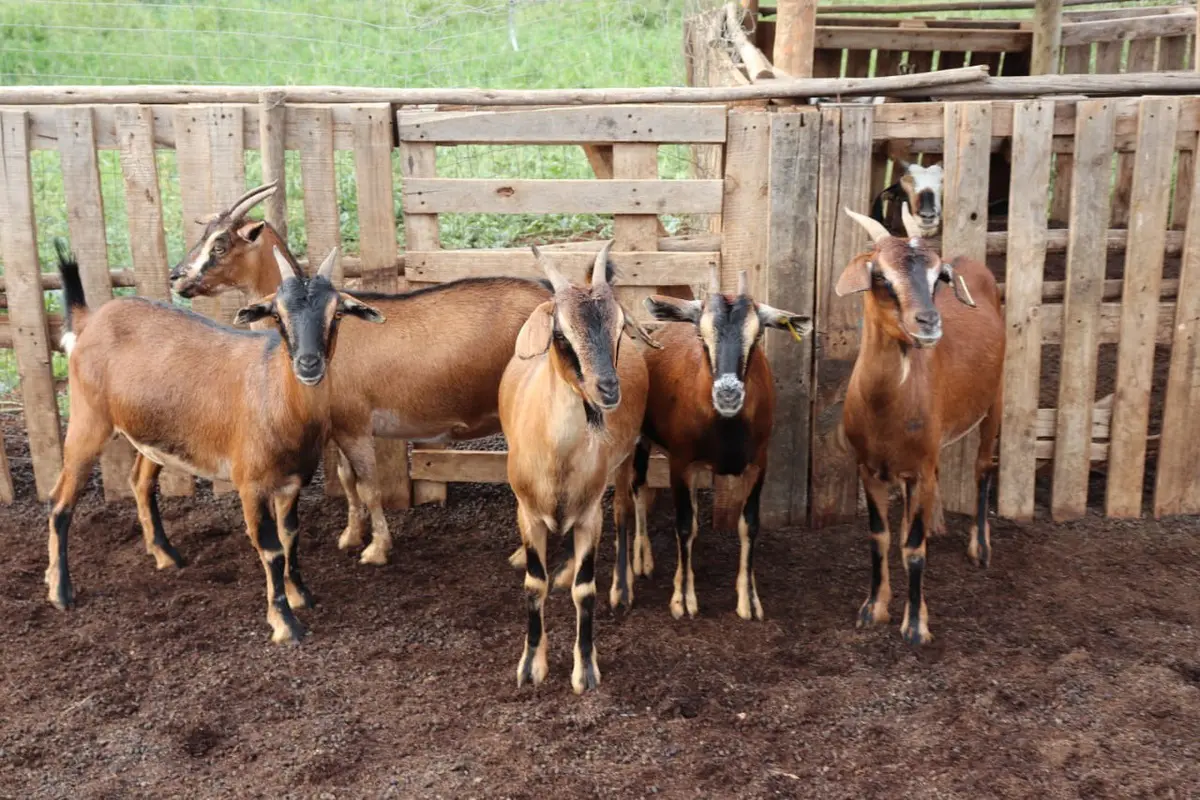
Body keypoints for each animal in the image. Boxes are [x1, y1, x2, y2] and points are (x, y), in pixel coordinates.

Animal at [48, 242, 384, 643]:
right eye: (278, 314)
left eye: (336, 314)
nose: (308, 364)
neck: (276, 395)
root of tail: (90, 320)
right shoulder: (251, 484)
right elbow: (271, 548)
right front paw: (284, 624)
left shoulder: (291, 483)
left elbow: (290, 536)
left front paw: (300, 594)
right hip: (88, 422)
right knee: (60, 502)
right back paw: (60, 592)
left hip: (152, 435)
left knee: (139, 482)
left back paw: (166, 556)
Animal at [169, 183, 553, 566]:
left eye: (220, 244)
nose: (176, 277)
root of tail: (552, 296)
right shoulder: (338, 427)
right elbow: (347, 480)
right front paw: (351, 536)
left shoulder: (356, 425)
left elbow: (369, 486)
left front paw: (377, 549)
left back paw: (522, 555)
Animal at [500, 242, 656, 694]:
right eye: (560, 333)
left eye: (619, 329)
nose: (608, 389)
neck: (557, 459)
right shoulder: (528, 513)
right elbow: (534, 583)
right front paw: (531, 664)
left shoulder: (590, 514)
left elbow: (586, 590)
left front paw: (584, 669)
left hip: (624, 463)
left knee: (623, 512)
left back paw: (622, 587)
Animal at [630, 269, 811, 621]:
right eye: (701, 336)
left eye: (757, 335)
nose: (728, 395)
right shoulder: (680, 463)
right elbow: (683, 525)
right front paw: (683, 600)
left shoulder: (758, 464)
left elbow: (749, 525)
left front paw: (749, 600)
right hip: (640, 440)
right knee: (638, 487)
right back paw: (641, 560)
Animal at [836, 203, 1004, 645]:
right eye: (880, 276)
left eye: (937, 276)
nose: (928, 322)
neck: (883, 410)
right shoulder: (869, 468)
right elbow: (878, 537)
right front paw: (873, 607)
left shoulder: (919, 470)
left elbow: (913, 549)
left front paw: (915, 626)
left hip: (995, 400)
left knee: (983, 467)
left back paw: (981, 549)